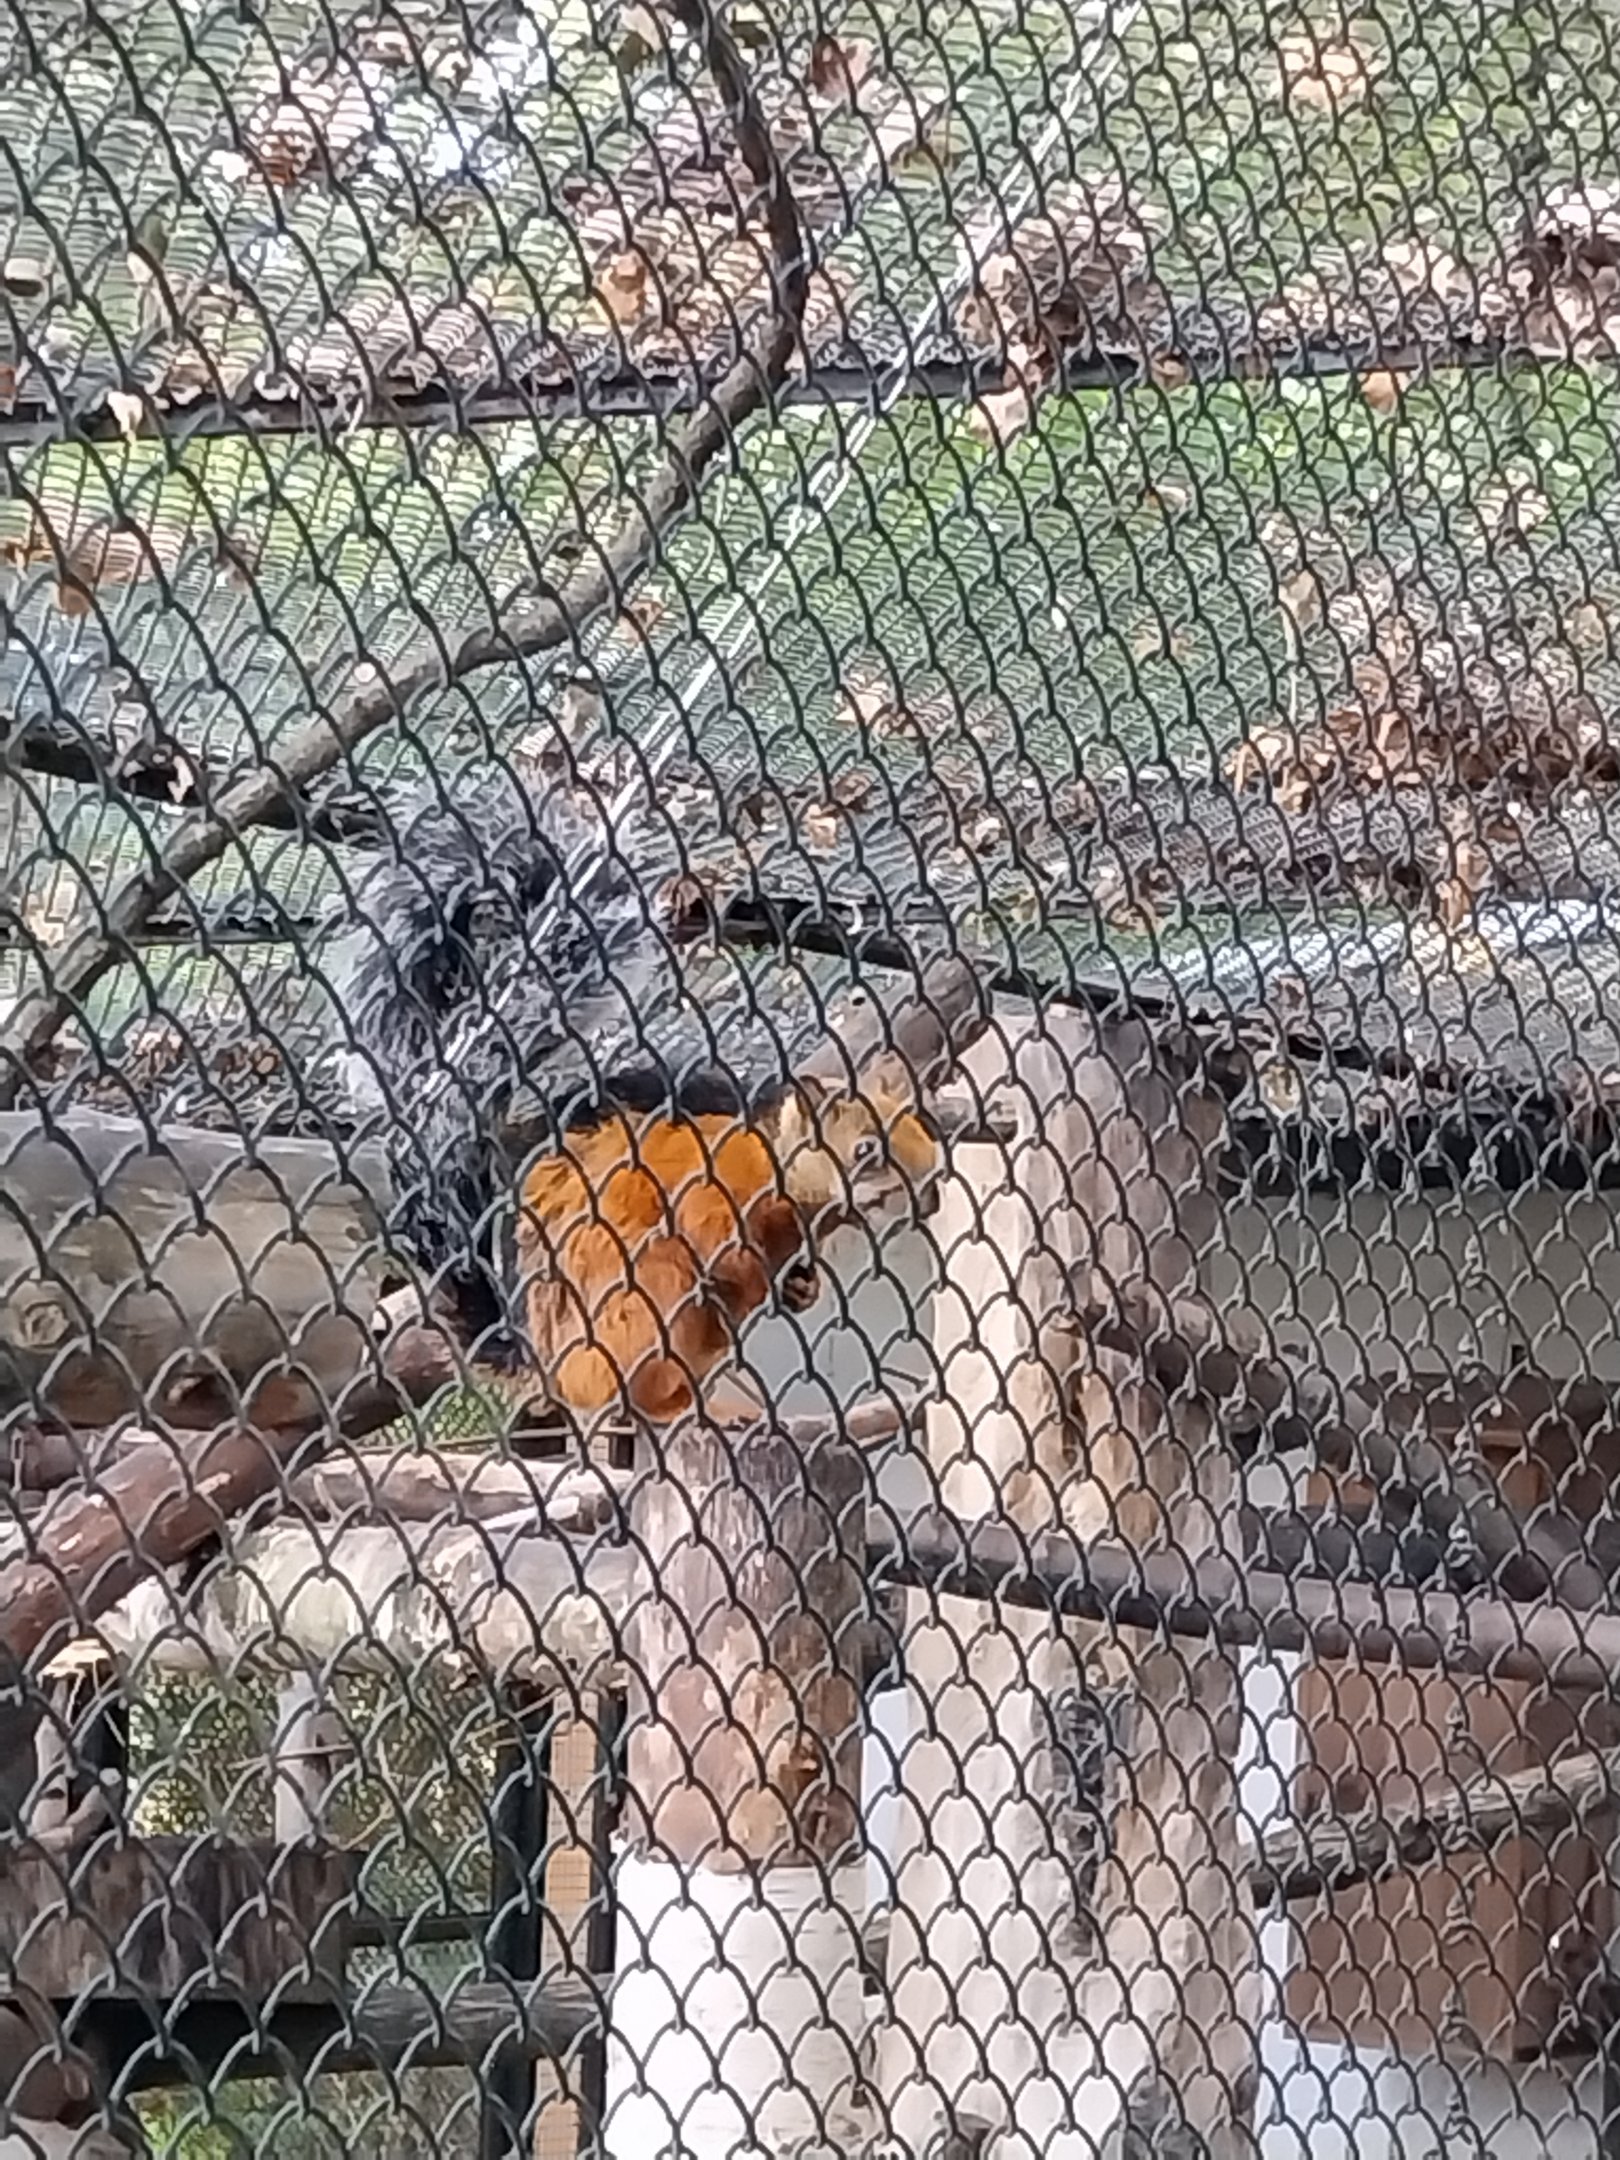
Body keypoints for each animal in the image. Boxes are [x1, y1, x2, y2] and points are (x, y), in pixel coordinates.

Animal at [327, 774, 960, 1427]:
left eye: (922, 1134)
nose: (930, 1189)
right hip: (635, 1307)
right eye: (865, 1150)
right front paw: (758, 1273)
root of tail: (540, 1362)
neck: (776, 1166)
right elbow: (718, 1249)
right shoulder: (710, 1190)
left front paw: (801, 1287)